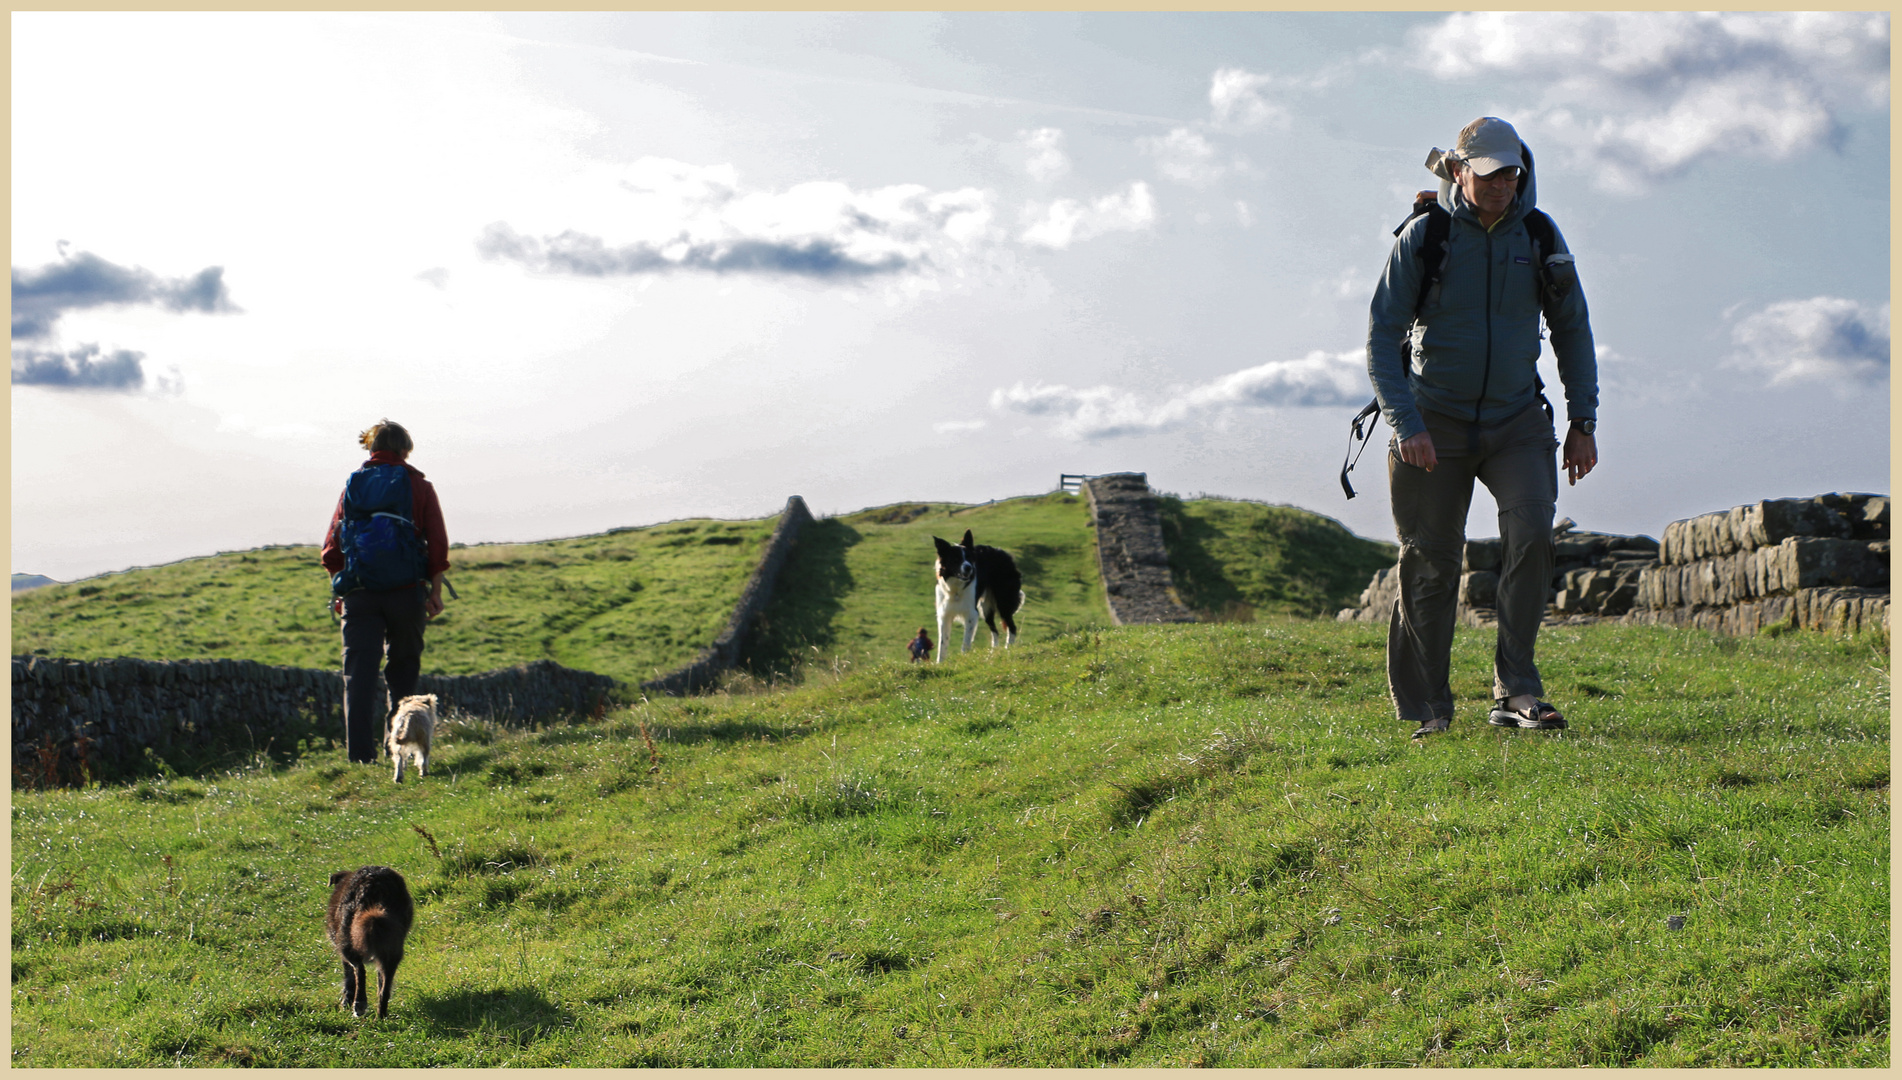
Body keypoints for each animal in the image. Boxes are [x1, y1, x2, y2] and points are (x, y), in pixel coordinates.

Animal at [325, 863, 414, 1019]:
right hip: (392, 948)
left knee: (360, 970)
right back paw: (381, 1015)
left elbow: (349, 978)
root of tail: (374, 883)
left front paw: (346, 1001)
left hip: (347, 941)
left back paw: (359, 1005)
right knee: (385, 987)